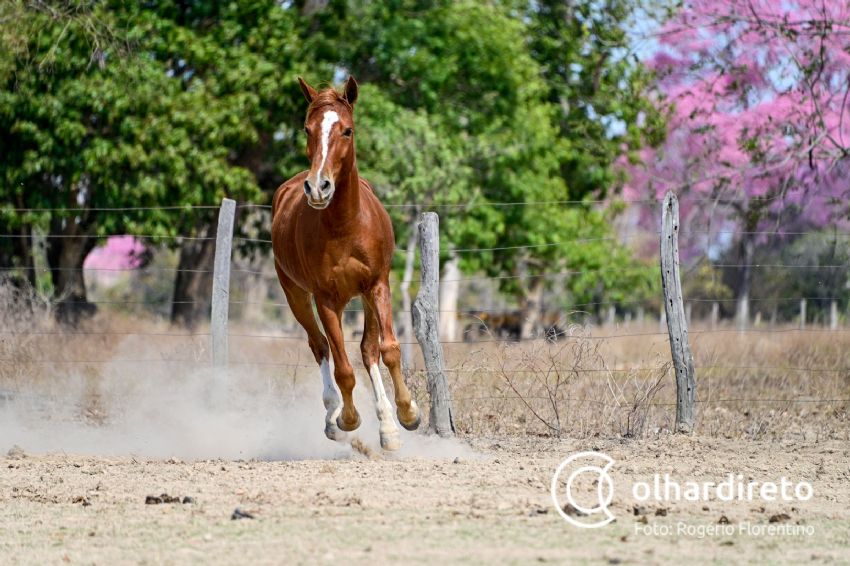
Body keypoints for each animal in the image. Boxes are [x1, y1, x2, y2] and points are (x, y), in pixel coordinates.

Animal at [270, 76, 420, 452]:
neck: (345, 225)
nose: (318, 187)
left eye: (347, 130)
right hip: (296, 295)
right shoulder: (325, 299)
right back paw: (333, 416)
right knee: (321, 346)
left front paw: (408, 414)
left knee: (368, 351)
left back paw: (388, 426)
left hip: (363, 297)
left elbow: (387, 350)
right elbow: (343, 369)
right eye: (307, 129)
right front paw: (347, 419)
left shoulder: (378, 285)